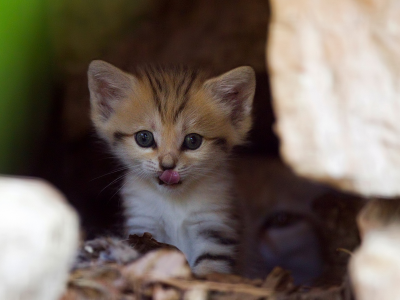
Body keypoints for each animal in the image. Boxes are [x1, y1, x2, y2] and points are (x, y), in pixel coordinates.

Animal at [88, 59, 256, 276]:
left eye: (193, 141)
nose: (167, 165)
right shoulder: (143, 223)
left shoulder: (214, 225)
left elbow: (211, 267)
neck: (174, 201)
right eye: (144, 138)